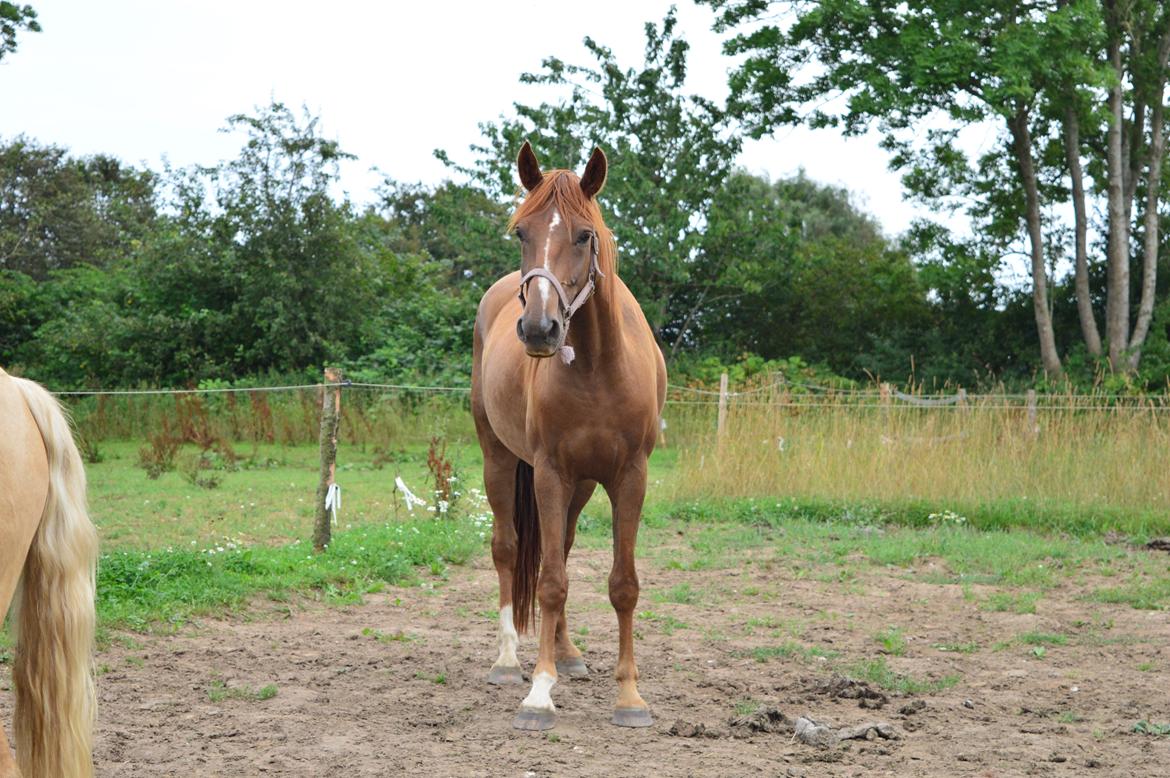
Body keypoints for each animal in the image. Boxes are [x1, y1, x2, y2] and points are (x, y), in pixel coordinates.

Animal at [467, 140, 669, 730]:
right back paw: (509, 661)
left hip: (580, 486)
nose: (539, 329)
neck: (599, 367)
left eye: (583, 235)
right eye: (521, 232)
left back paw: (569, 654)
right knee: (510, 551)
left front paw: (629, 697)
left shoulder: (629, 477)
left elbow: (622, 585)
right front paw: (539, 692)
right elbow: (550, 581)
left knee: (563, 548)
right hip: (500, 460)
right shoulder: (549, 474)